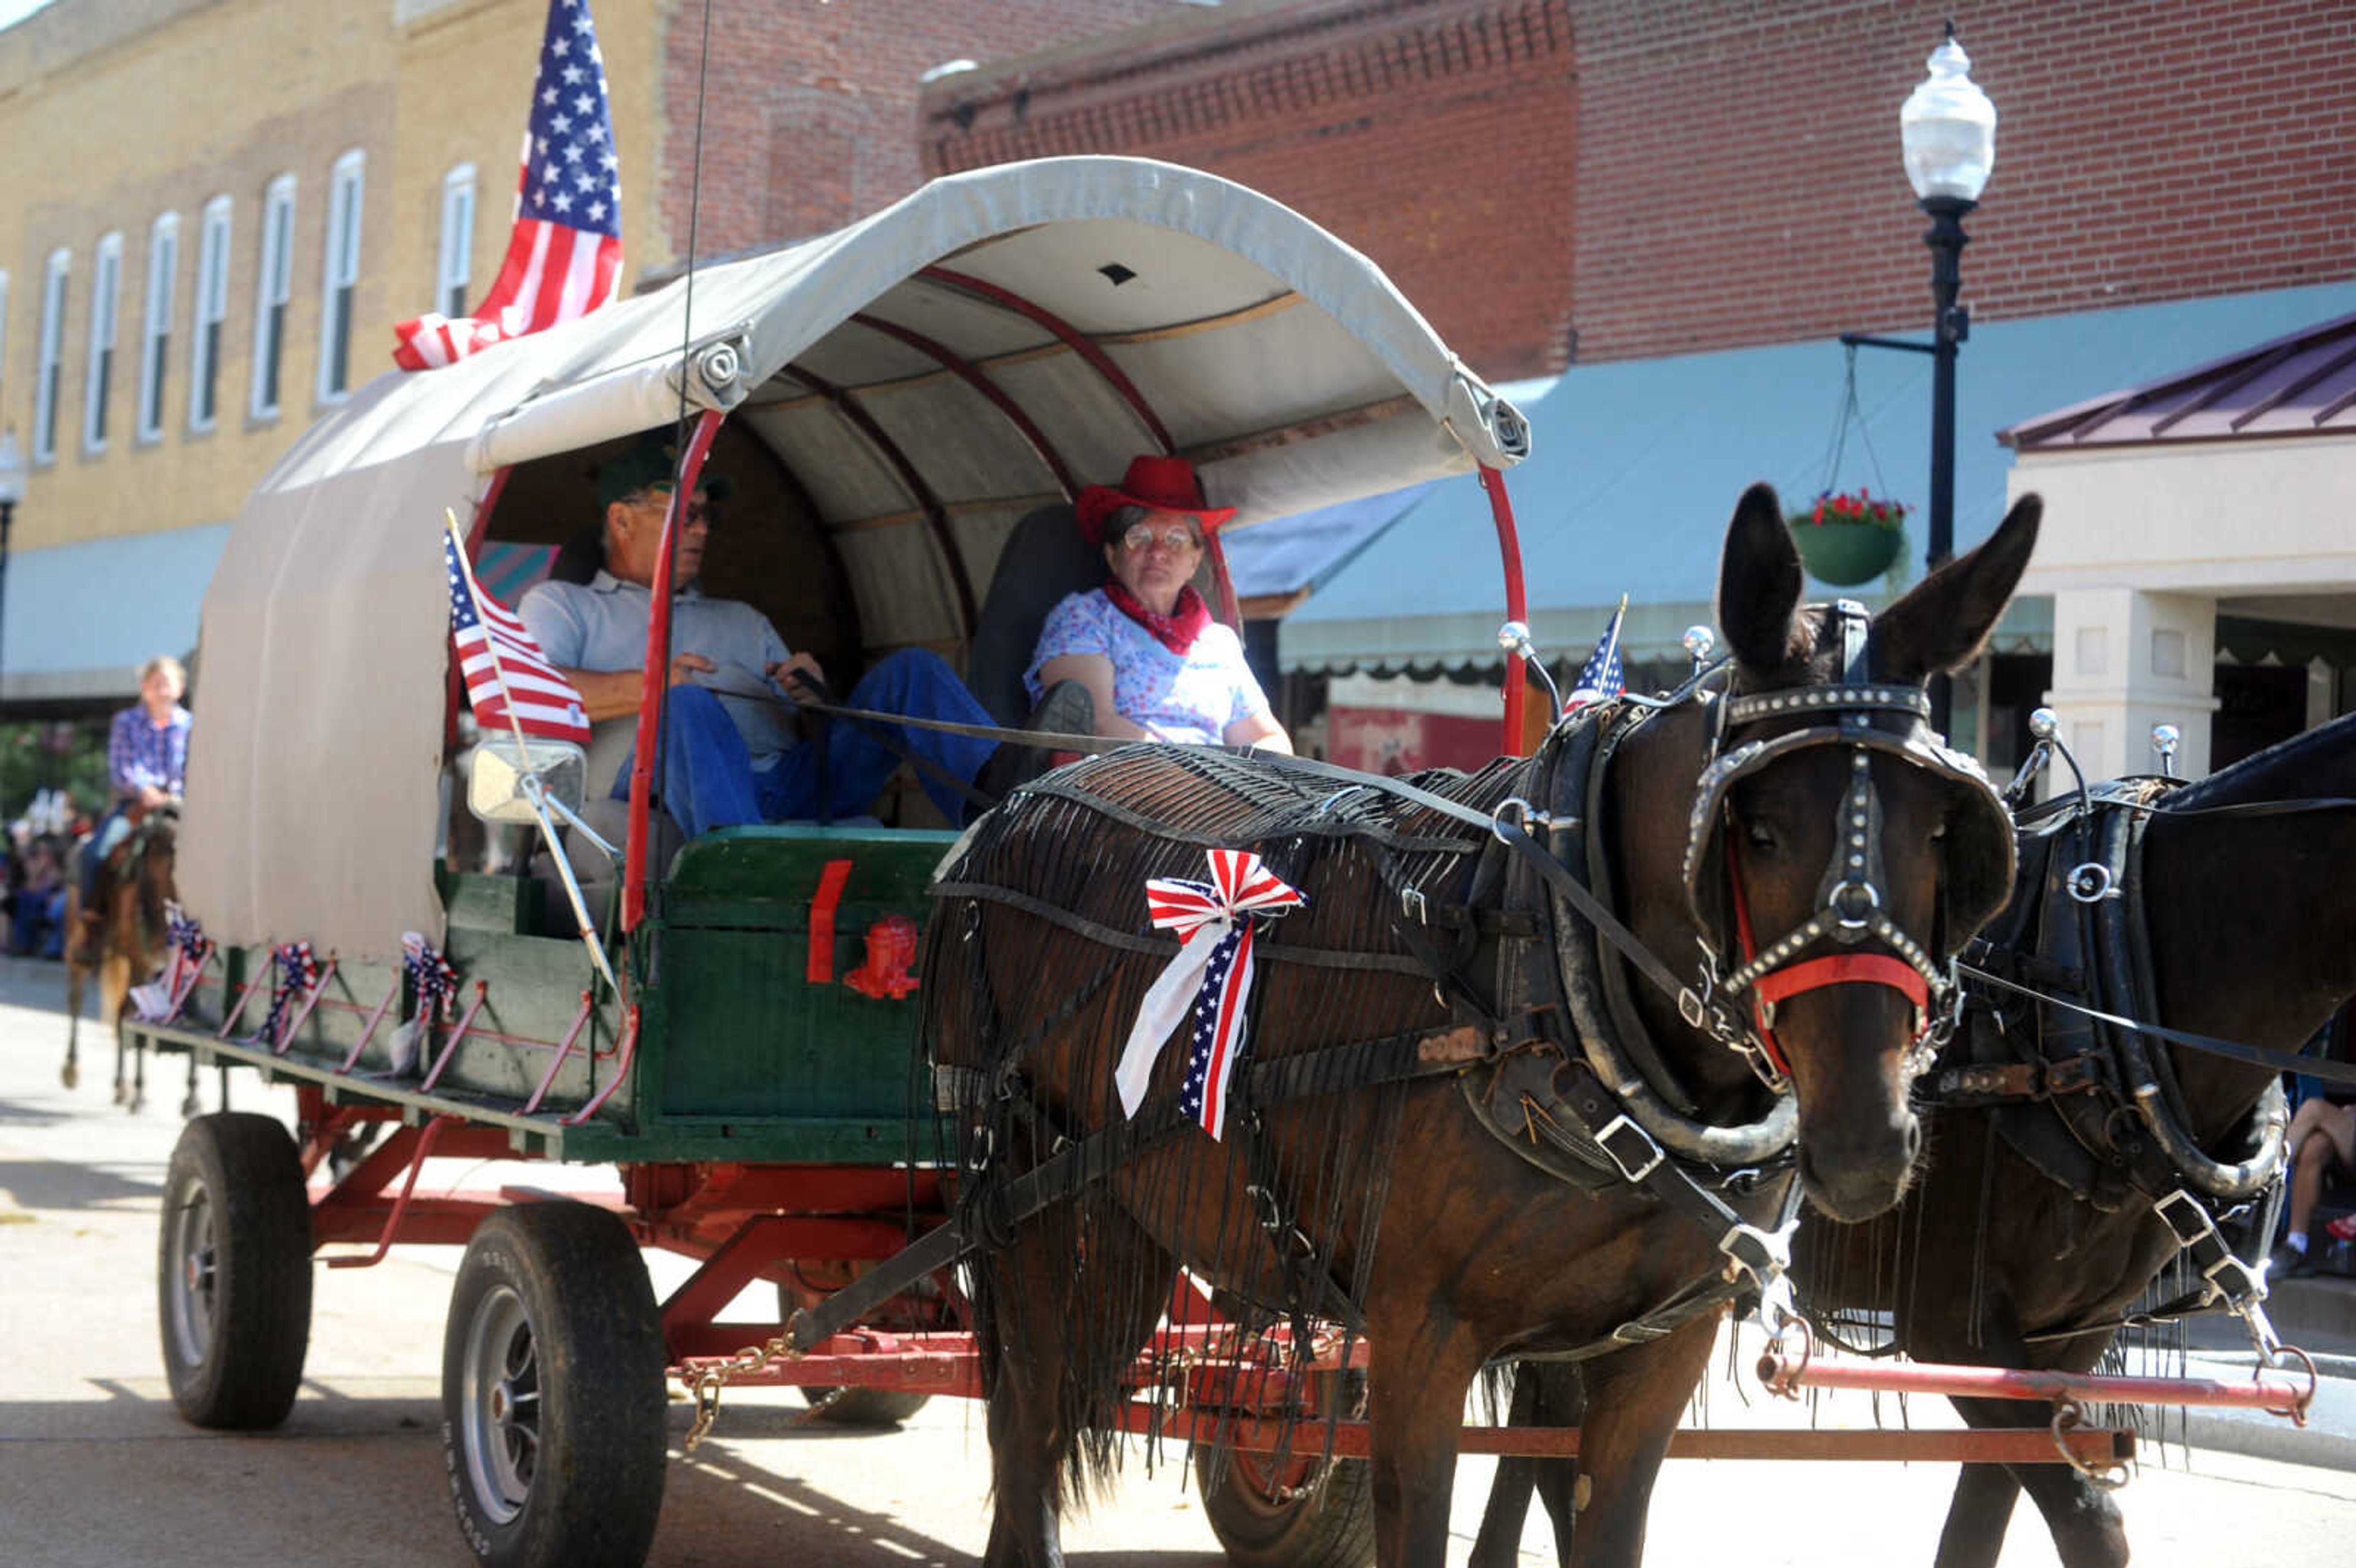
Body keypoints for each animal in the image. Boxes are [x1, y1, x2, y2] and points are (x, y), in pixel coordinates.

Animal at [63, 805, 177, 1111]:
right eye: (152, 867)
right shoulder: (141, 961)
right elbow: (132, 1017)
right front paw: (137, 1090)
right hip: (77, 942)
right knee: (78, 998)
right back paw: (72, 1069)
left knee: (119, 1012)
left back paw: (120, 1085)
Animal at [928, 485, 2035, 1563]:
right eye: (1756, 829)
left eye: (1943, 827)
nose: (1865, 1143)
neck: (1553, 975)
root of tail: (1026, 795)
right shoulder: (1420, 1340)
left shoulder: (1652, 1356)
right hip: (1039, 1214)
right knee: (1026, 1437)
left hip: (1131, 1217)